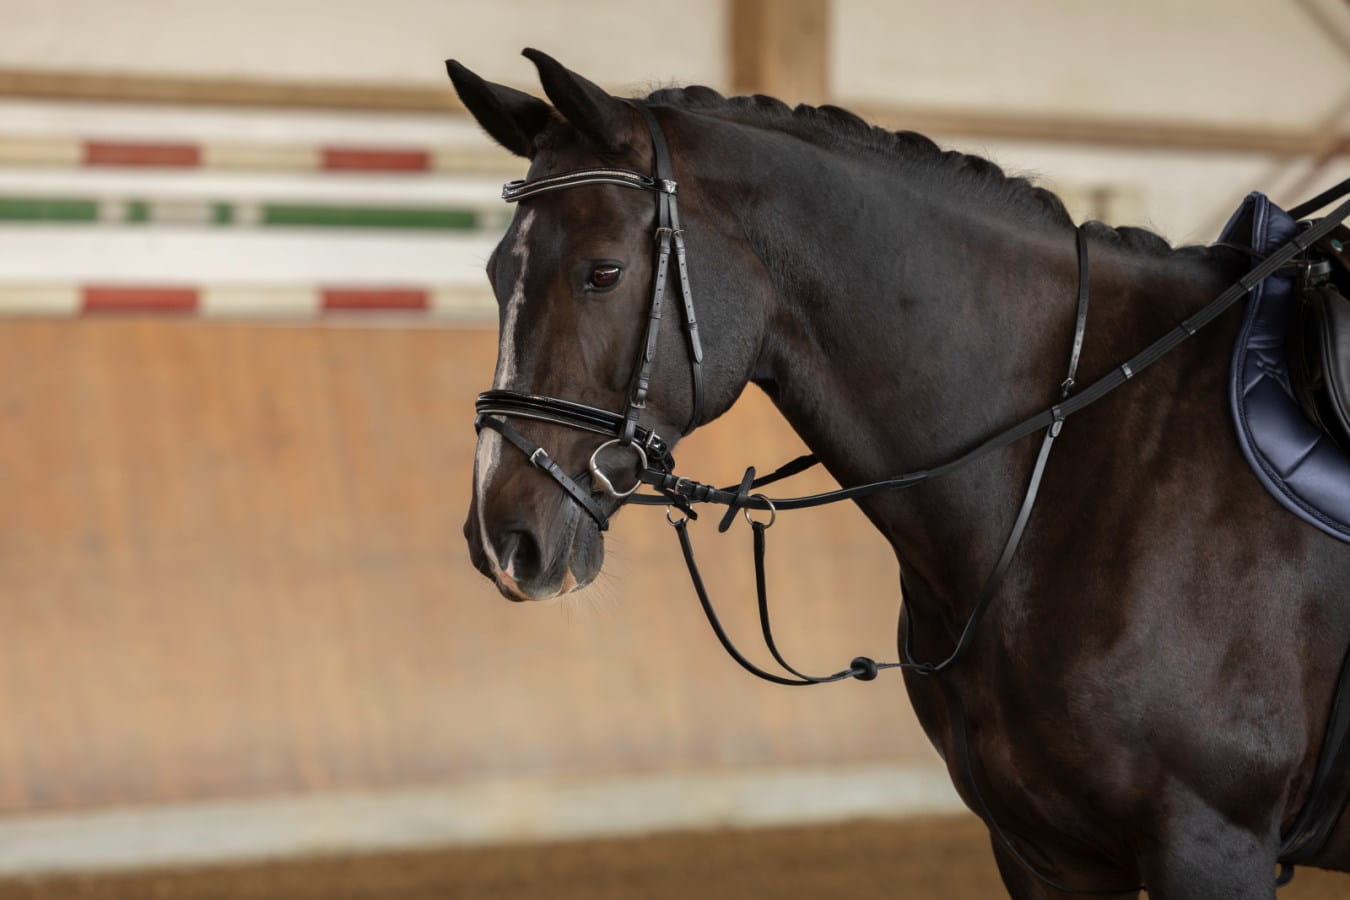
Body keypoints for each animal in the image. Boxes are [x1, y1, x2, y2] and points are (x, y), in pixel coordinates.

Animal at [453, 49, 1350, 899]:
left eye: (603, 271)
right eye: (498, 273)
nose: (503, 542)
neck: (1063, 459)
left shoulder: (1209, 841)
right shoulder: (1046, 857)